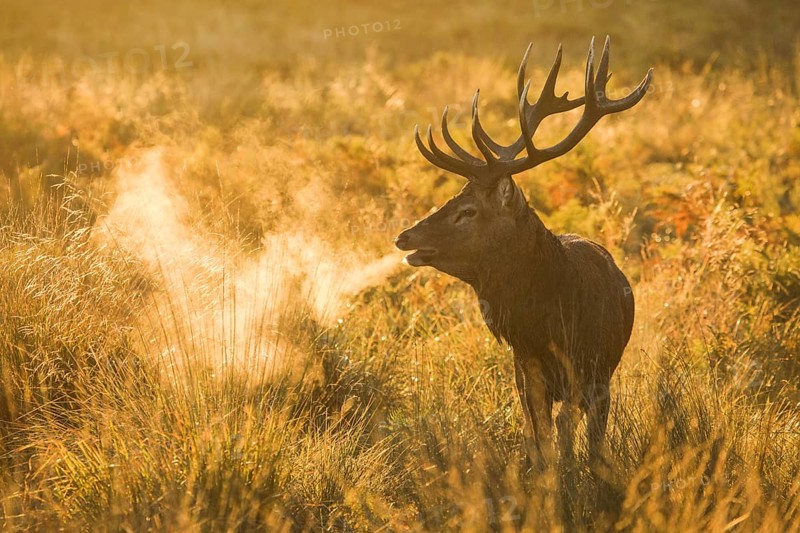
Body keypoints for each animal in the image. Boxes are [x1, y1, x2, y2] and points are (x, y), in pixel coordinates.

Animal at [394, 36, 652, 467]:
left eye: (468, 211)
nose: (405, 237)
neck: (550, 323)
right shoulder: (525, 365)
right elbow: (541, 434)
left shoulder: (593, 371)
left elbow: (572, 435)